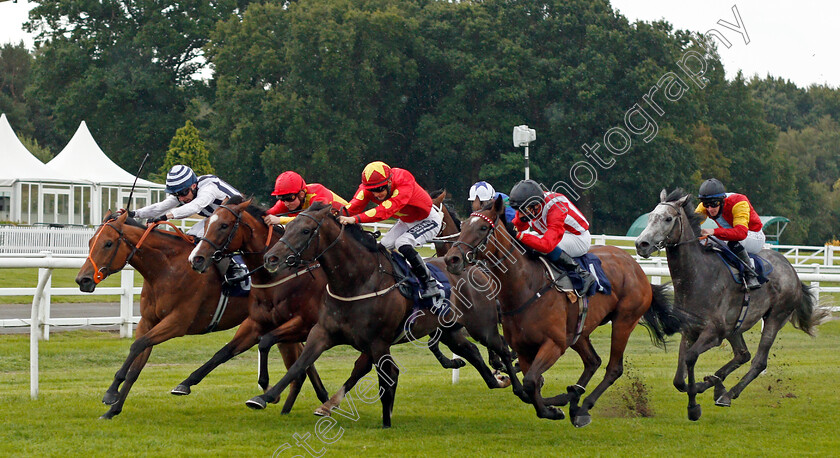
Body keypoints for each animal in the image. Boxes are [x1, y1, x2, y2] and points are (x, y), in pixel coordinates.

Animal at [75, 211, 322, 418]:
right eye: (90, 242)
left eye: (108, 243)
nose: (83, 280)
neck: (166, 269)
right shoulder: (148, 321)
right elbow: (137, 364)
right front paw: (113, 409)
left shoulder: (177, 323)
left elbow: (138, 345)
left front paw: (110, 393)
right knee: (301, 359)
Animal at [248, 202, 520, 428]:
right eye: (288, 226)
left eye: (305, 231)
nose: (271, 258)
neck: (357, 281)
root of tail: (476, 269)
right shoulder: (323, 332)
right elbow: (299, 364)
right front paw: (264, 396)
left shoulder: (378, 342)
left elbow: (385, 377)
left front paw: (386, 422)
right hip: (449, 331)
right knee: (472, 351)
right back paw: (496, 380)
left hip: (482, 327)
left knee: (502, 348)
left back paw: (517, 384)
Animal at [442, 199, 684, 428]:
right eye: (464, 225)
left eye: (483, 227)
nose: (451, 259)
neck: (526, 287)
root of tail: (636, 268)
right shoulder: (524, 348)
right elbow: (531, 384)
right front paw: (550, 406)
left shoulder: (554, 344)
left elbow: (531, 382)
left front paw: (551, 410)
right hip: (579, 331)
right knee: (593, 361)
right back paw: (571, 396)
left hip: (624, 320)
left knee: (613, 368)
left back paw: (582, 407)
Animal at [636, 188, 828, 420]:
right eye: (650, 217)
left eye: (667, 219)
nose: (641, 244)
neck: (698, 277)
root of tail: (793, 271)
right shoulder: (689, 330)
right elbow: (679, 380)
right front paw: (702, 387)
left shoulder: (714, 333)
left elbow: (690, 359)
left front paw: (694, 406)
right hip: (735, 326)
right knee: (742, 354)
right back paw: (717, 384)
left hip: (775, 317)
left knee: (758, 361)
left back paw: (727, 394)